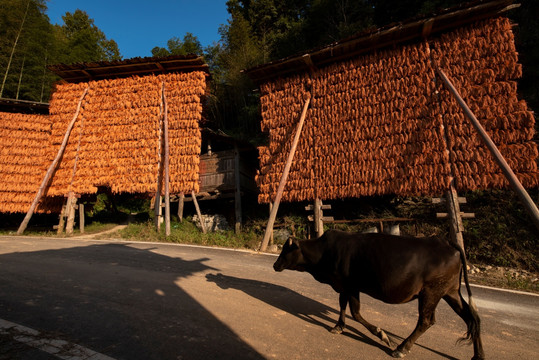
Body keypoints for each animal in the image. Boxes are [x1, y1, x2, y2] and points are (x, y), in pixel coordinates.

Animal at [274, 229, 486, 358]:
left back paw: (401, 349)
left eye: (286, 250)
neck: (324, 253)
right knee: (472, 318)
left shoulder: (351, 286)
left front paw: (382, 334)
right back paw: (478, 355)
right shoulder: (345, 286)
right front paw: (339, 326)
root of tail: (445, 241)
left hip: (431, 292)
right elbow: (343, 306)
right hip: (450, 291)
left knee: (426, 321)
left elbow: (356, 313)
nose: (275, 265)